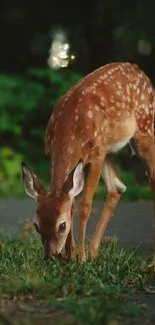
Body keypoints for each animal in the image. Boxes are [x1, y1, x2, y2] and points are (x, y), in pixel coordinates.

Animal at [21, 62, 155, 262]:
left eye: (61, 226)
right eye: (37, 226)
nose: (50, 256)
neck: (70, 128)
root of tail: (140, 70)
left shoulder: (96, 155)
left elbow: (85, 206)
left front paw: (81, 257)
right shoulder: (59, 154)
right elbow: (71, 204)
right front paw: (71, 254)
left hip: (145, 129)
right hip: (109, 150)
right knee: (117, 188)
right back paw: (93, 251)